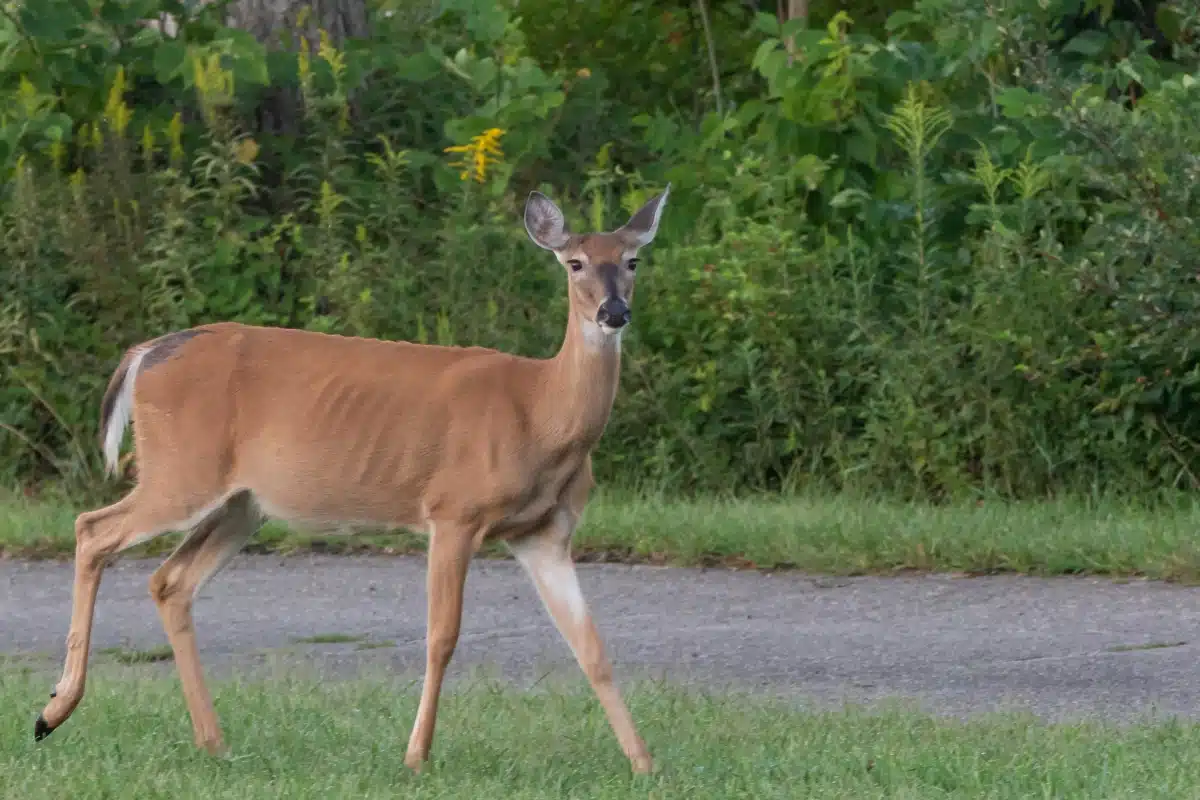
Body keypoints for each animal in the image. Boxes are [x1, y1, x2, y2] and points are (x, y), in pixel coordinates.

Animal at [33, 185, 670, 775]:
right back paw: (54, 710)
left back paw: (212, 742)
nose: (614, 313)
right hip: (182, 470)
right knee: (92, 528)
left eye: (633, 261)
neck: (541, 414)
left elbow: (591, 646)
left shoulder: (544, 533)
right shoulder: (453, 510)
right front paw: (415, 755)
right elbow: (442, 636)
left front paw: (644, 763)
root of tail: (145, 352)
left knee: (170, 581)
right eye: (575, 263)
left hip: (242, 503)